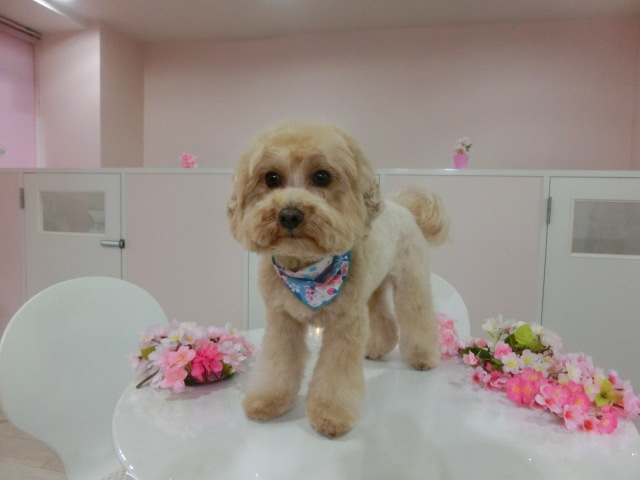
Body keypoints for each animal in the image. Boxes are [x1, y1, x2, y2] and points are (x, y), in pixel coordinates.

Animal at [227, 121, 449, 437]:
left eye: (322, 176)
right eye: (271, 178)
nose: (290, 214)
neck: (306, 271)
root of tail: (401, 205)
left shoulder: (345, 324)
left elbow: (336, 375)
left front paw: (331, 415)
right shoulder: (283, 320)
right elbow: (277, 365)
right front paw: (268, 400)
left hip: (411, 278)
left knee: (416, 315)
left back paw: (423, 356)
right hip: (372, 288)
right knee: (383, 318)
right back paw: (376, 348)